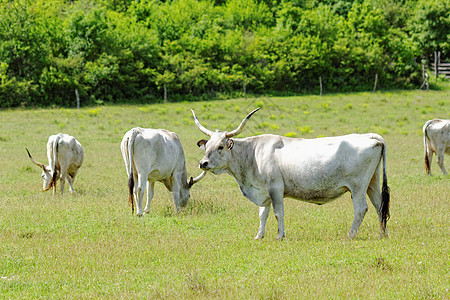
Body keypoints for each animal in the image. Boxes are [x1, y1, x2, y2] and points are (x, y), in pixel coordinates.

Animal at [192, 107, 388, 239]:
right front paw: (259, 235)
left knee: (361, 209)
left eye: (220, 146)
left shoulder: (275, 188)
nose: (203, 163)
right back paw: (382, 234)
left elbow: (278, 212)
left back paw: (351, 235)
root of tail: (370, 135)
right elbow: (262, 214)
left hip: (358, 187)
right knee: (380, 206)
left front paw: (280, 236)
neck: (253, 154)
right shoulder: (263, 191)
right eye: (207, 147)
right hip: (372, 183)